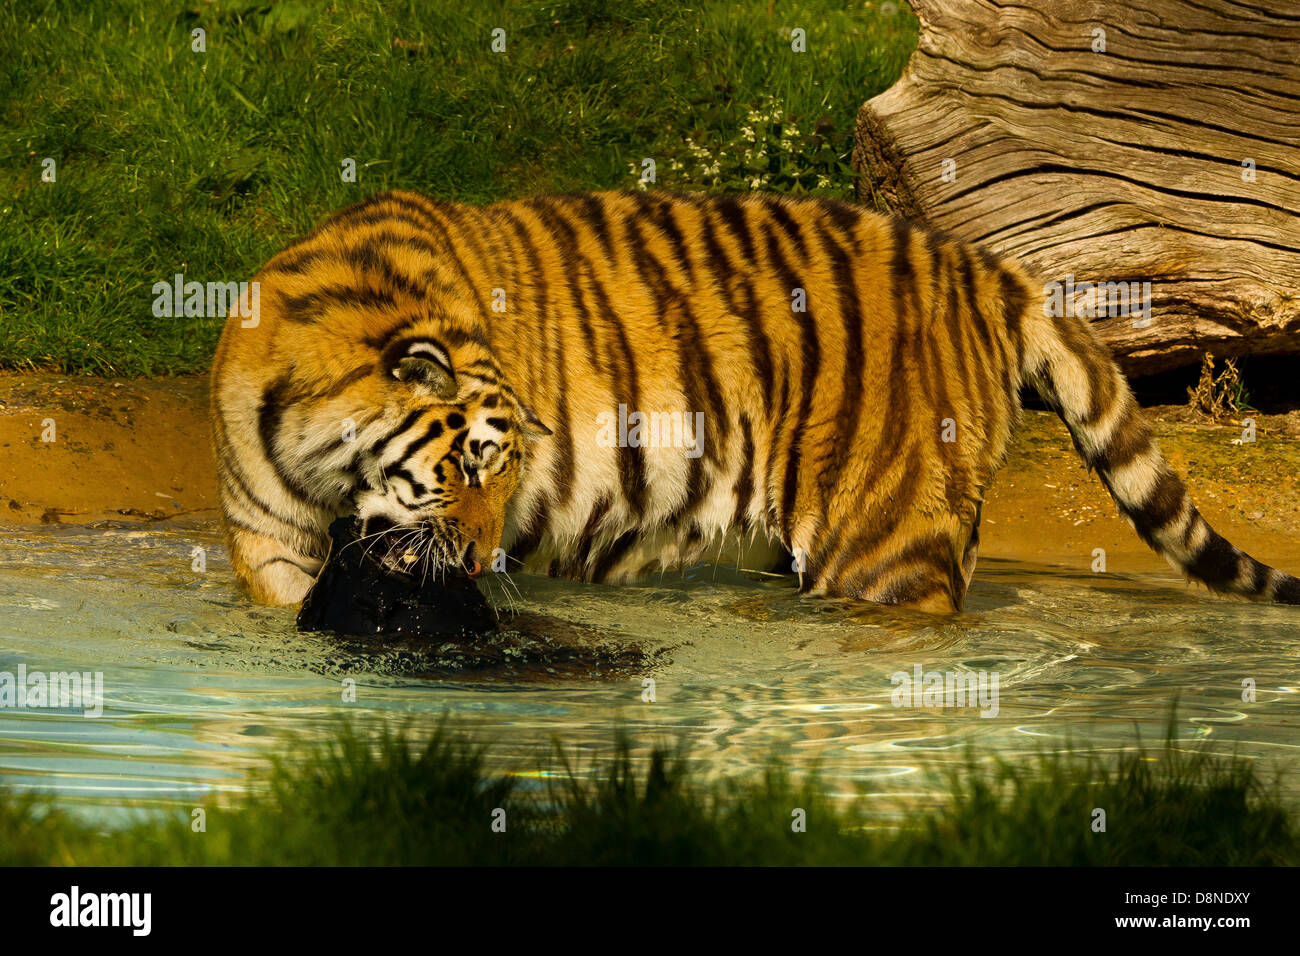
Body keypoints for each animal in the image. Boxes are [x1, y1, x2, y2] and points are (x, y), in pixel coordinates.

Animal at [208, 191, 1300, 616]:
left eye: (499, 469)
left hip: (882, 539)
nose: (481, 559)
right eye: (468, 463)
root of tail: (984, 269)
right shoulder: (272, 547)